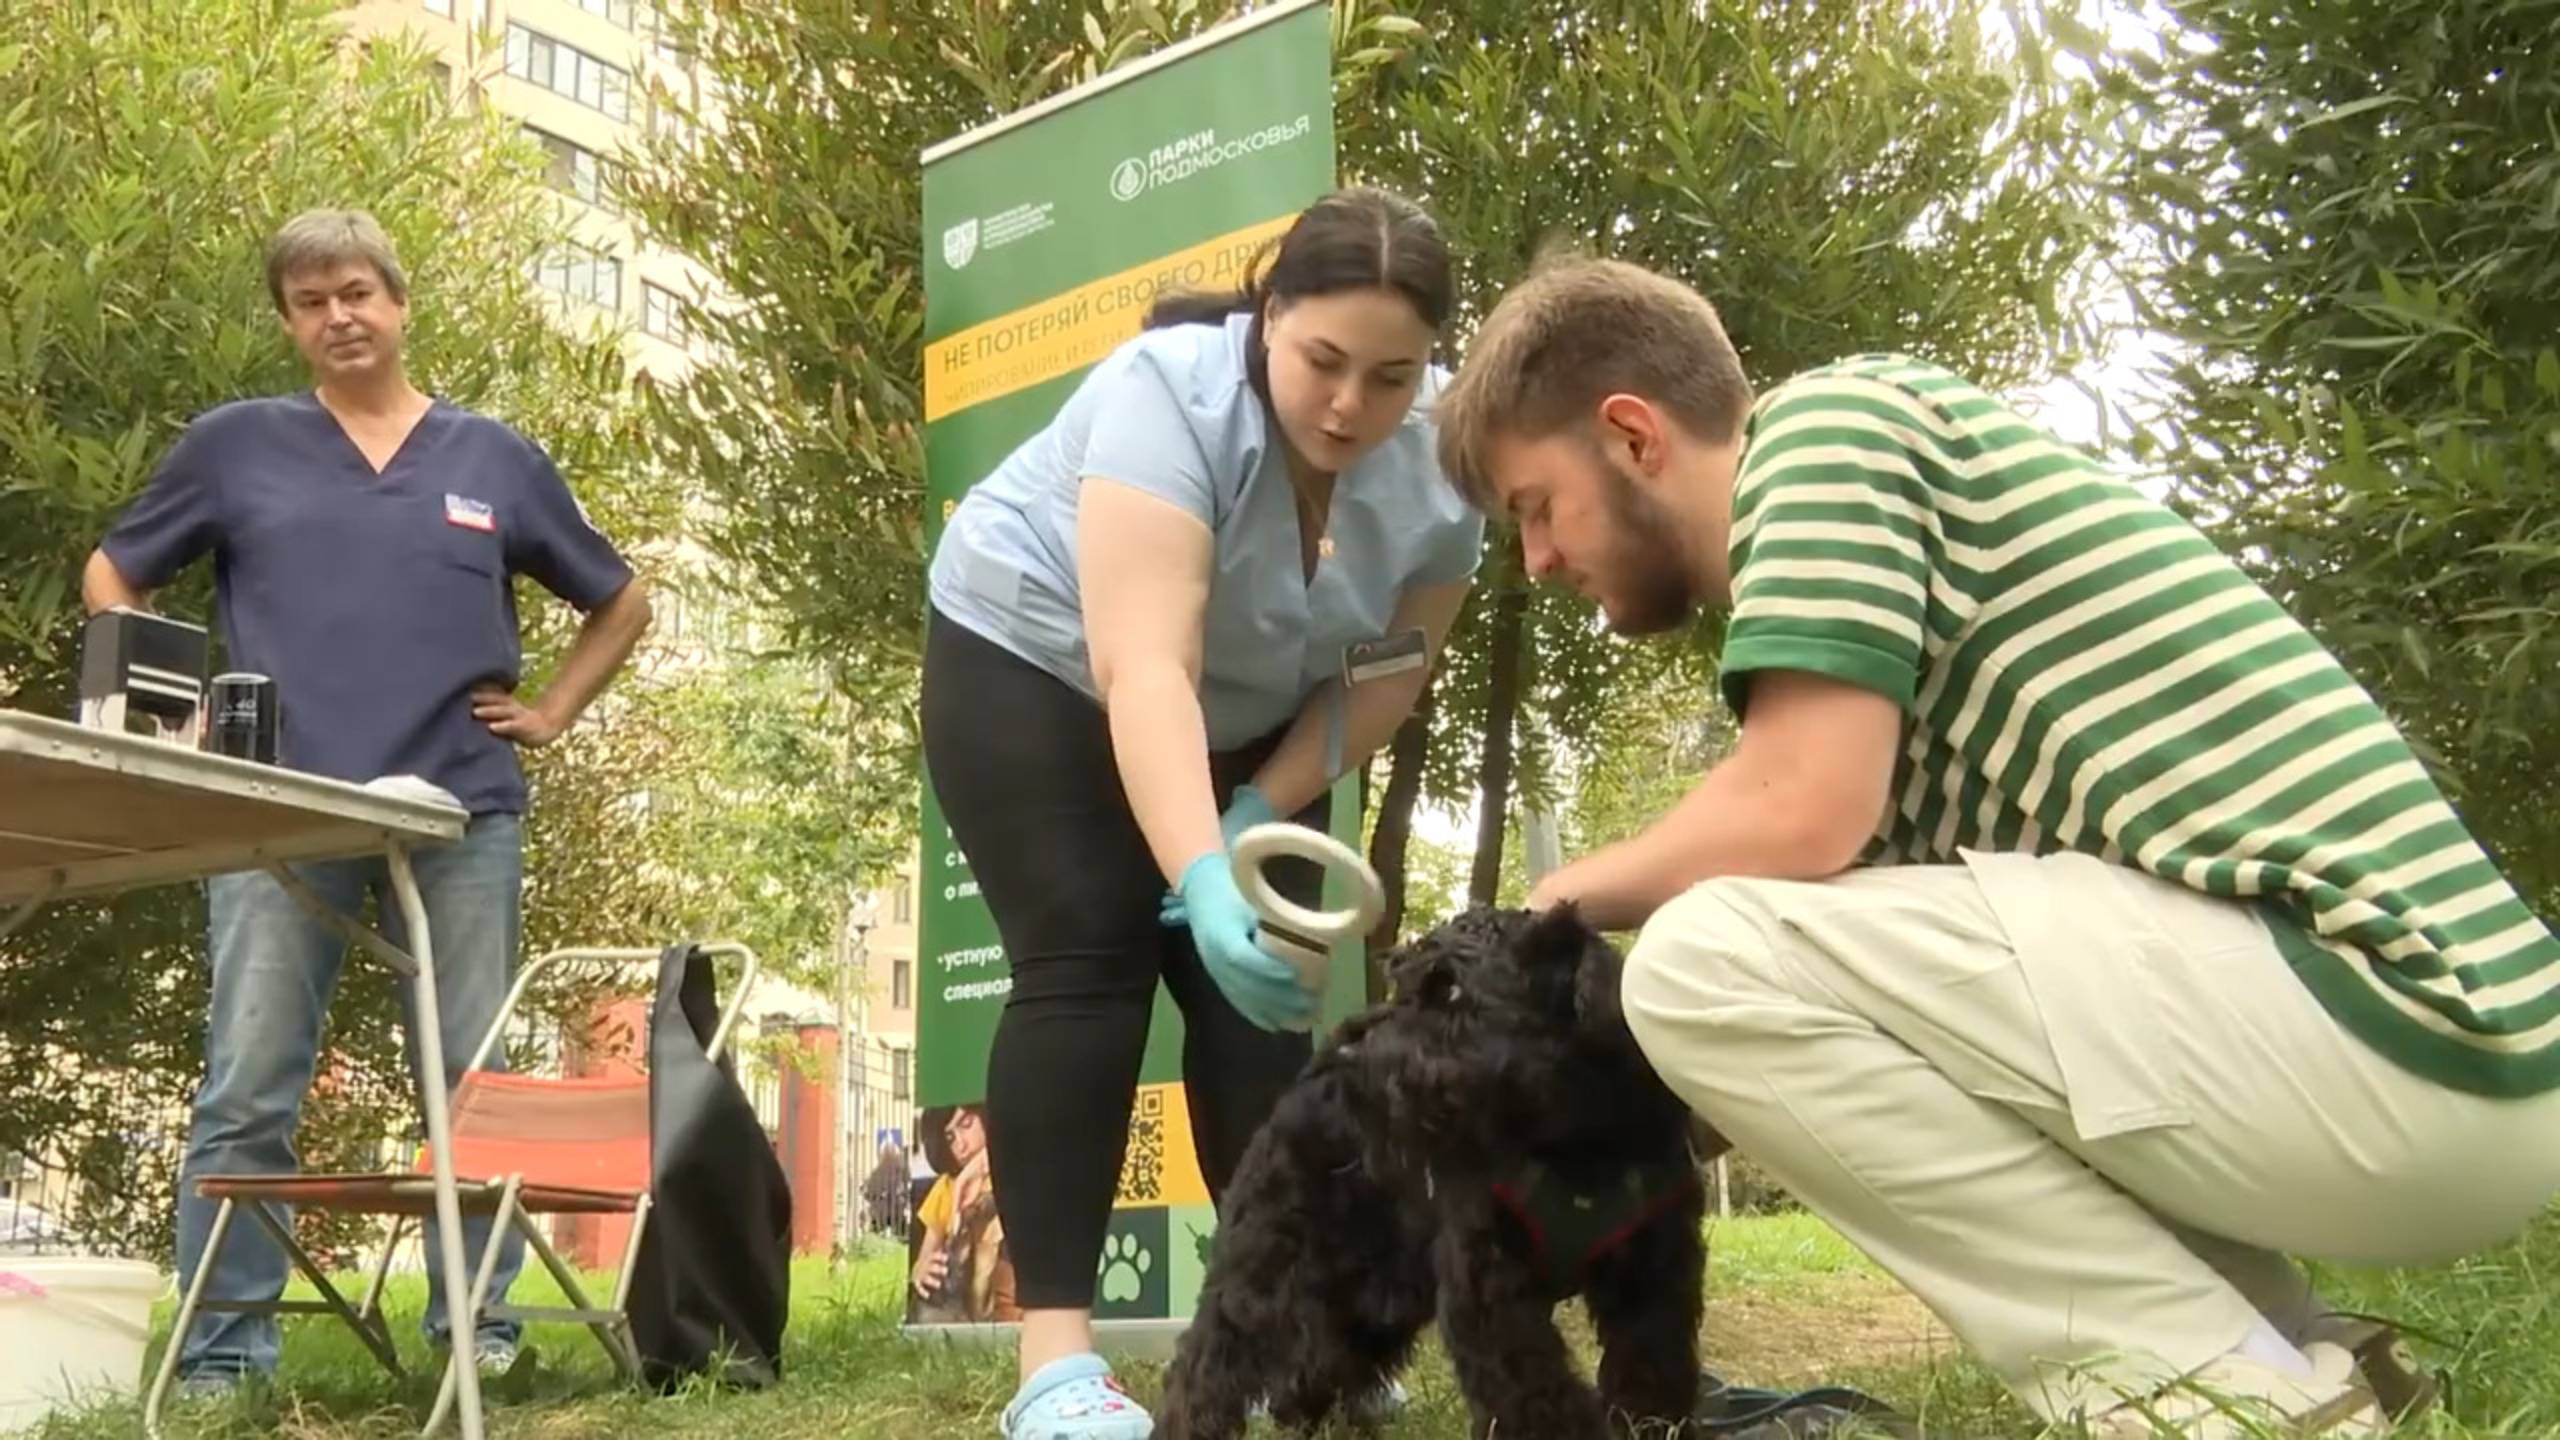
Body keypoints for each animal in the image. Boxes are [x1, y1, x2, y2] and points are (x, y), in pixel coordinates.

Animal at [1157, 901, 1710, 1424]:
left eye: (1452, 989)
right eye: (1401, 980)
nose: (1352, 1053)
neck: (1572, 1140)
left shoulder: (1654, 1276)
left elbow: (1650, 1373)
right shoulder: (1487, 1294)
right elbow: (1536, 1394)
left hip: (1375, 1299)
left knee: (1315, 1368)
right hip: (1265, 1264)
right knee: (1206, 1362)